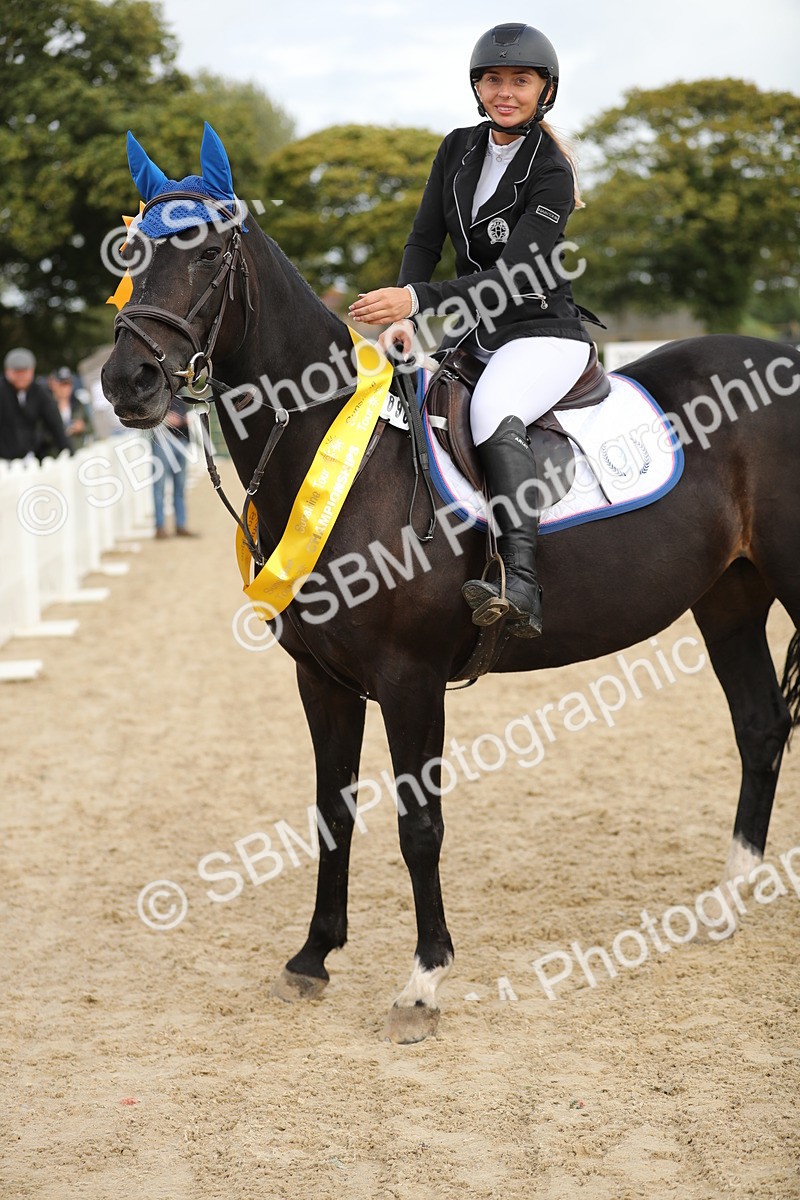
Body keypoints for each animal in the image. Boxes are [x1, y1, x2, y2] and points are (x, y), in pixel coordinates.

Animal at [101, 125, 800, 1043]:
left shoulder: (410, 680)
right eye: (132, 253)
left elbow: (418, 825)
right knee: (760, 726)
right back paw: (726, 901)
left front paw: (424, 982)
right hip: (730, 597)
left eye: (213, 251)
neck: (346, 457)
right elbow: (333, 812)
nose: (127, 382)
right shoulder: (322, 681)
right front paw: (313, 956)